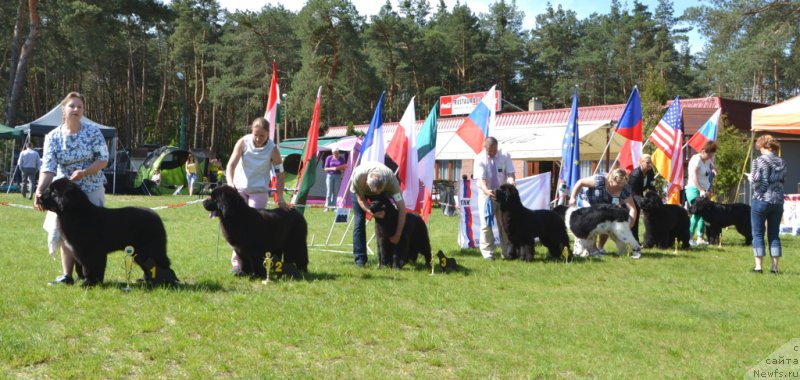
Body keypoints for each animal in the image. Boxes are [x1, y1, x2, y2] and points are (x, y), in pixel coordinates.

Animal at [38, 178, 178, 284]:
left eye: (53, 193)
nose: (39, 197)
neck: (77, 214)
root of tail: (156, 215)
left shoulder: (90, 250)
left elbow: (90, 267)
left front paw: (90, 283)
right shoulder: (77, 250)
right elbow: (80, 267)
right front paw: (84, 281)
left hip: (149, 248)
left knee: (161, 264)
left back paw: (166, 282)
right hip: (140, 251)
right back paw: (145, 281)